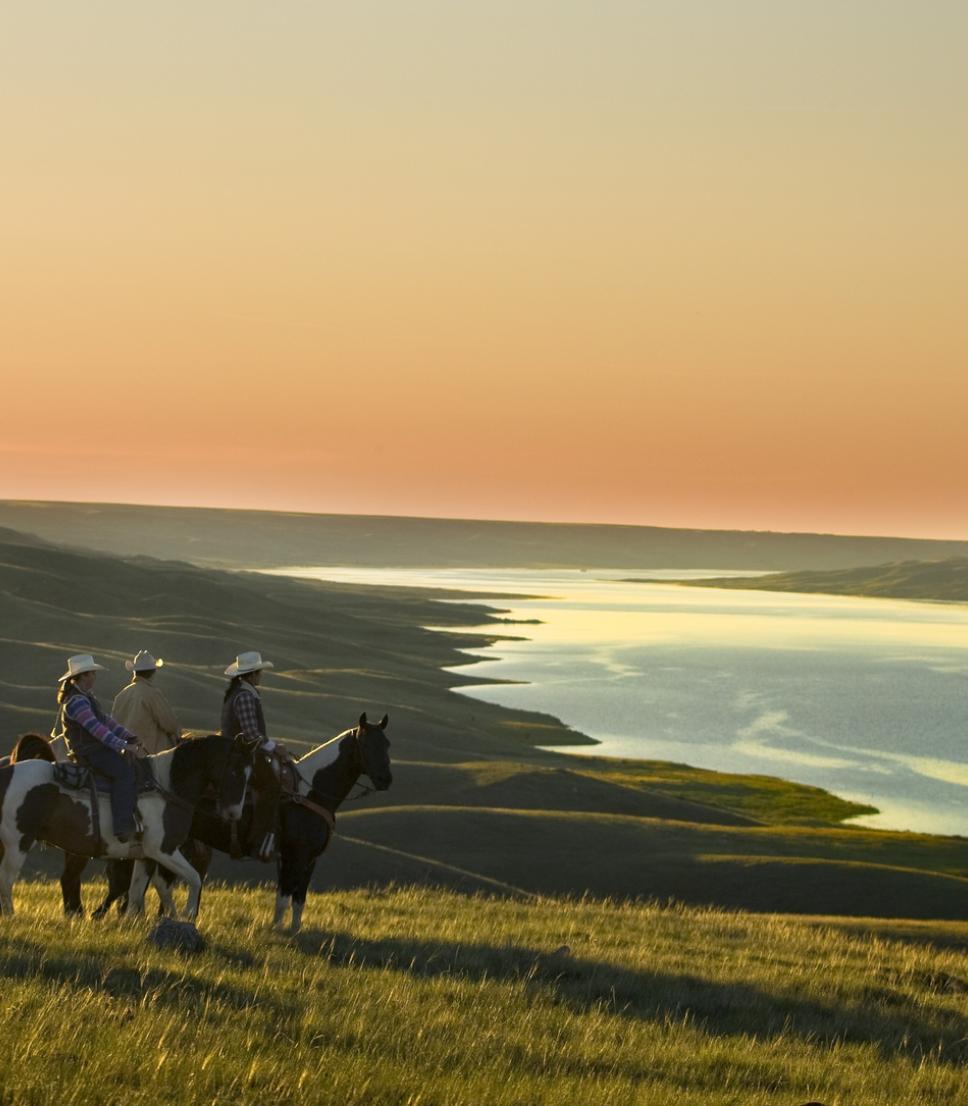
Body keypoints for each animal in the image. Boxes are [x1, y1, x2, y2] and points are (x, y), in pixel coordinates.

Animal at [0, 729, 257, 920]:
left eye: (249, 773)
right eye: (235, 771)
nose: (234, 813)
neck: (167, 786)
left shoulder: (146, 857)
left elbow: (137, 893)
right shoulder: (163, 850)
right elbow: (193, 878)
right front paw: (189, 916)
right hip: (18, 841)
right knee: (7, 879)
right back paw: (12, 915)